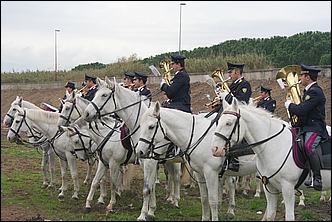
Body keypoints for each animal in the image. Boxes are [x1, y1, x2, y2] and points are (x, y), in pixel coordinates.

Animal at [82, 76, 183, 220]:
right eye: (95, 94)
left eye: (104, 95)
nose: (86, 114)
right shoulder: (143, 161)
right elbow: (150, 186)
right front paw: (151, 210)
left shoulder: (147, 162)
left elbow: (145, 188)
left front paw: (143, 214)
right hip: (167, 160)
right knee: (173, 177)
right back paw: (171, 199)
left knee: (176, 177)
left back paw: (175, 200)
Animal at [133, 100, 262, 220]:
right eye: (141, 125)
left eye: (151, 126)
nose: (139, 151)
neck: (196, 135)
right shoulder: (200, 173)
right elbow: (204, 199)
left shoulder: (210, 173)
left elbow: (212, 201)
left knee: (234, 184)